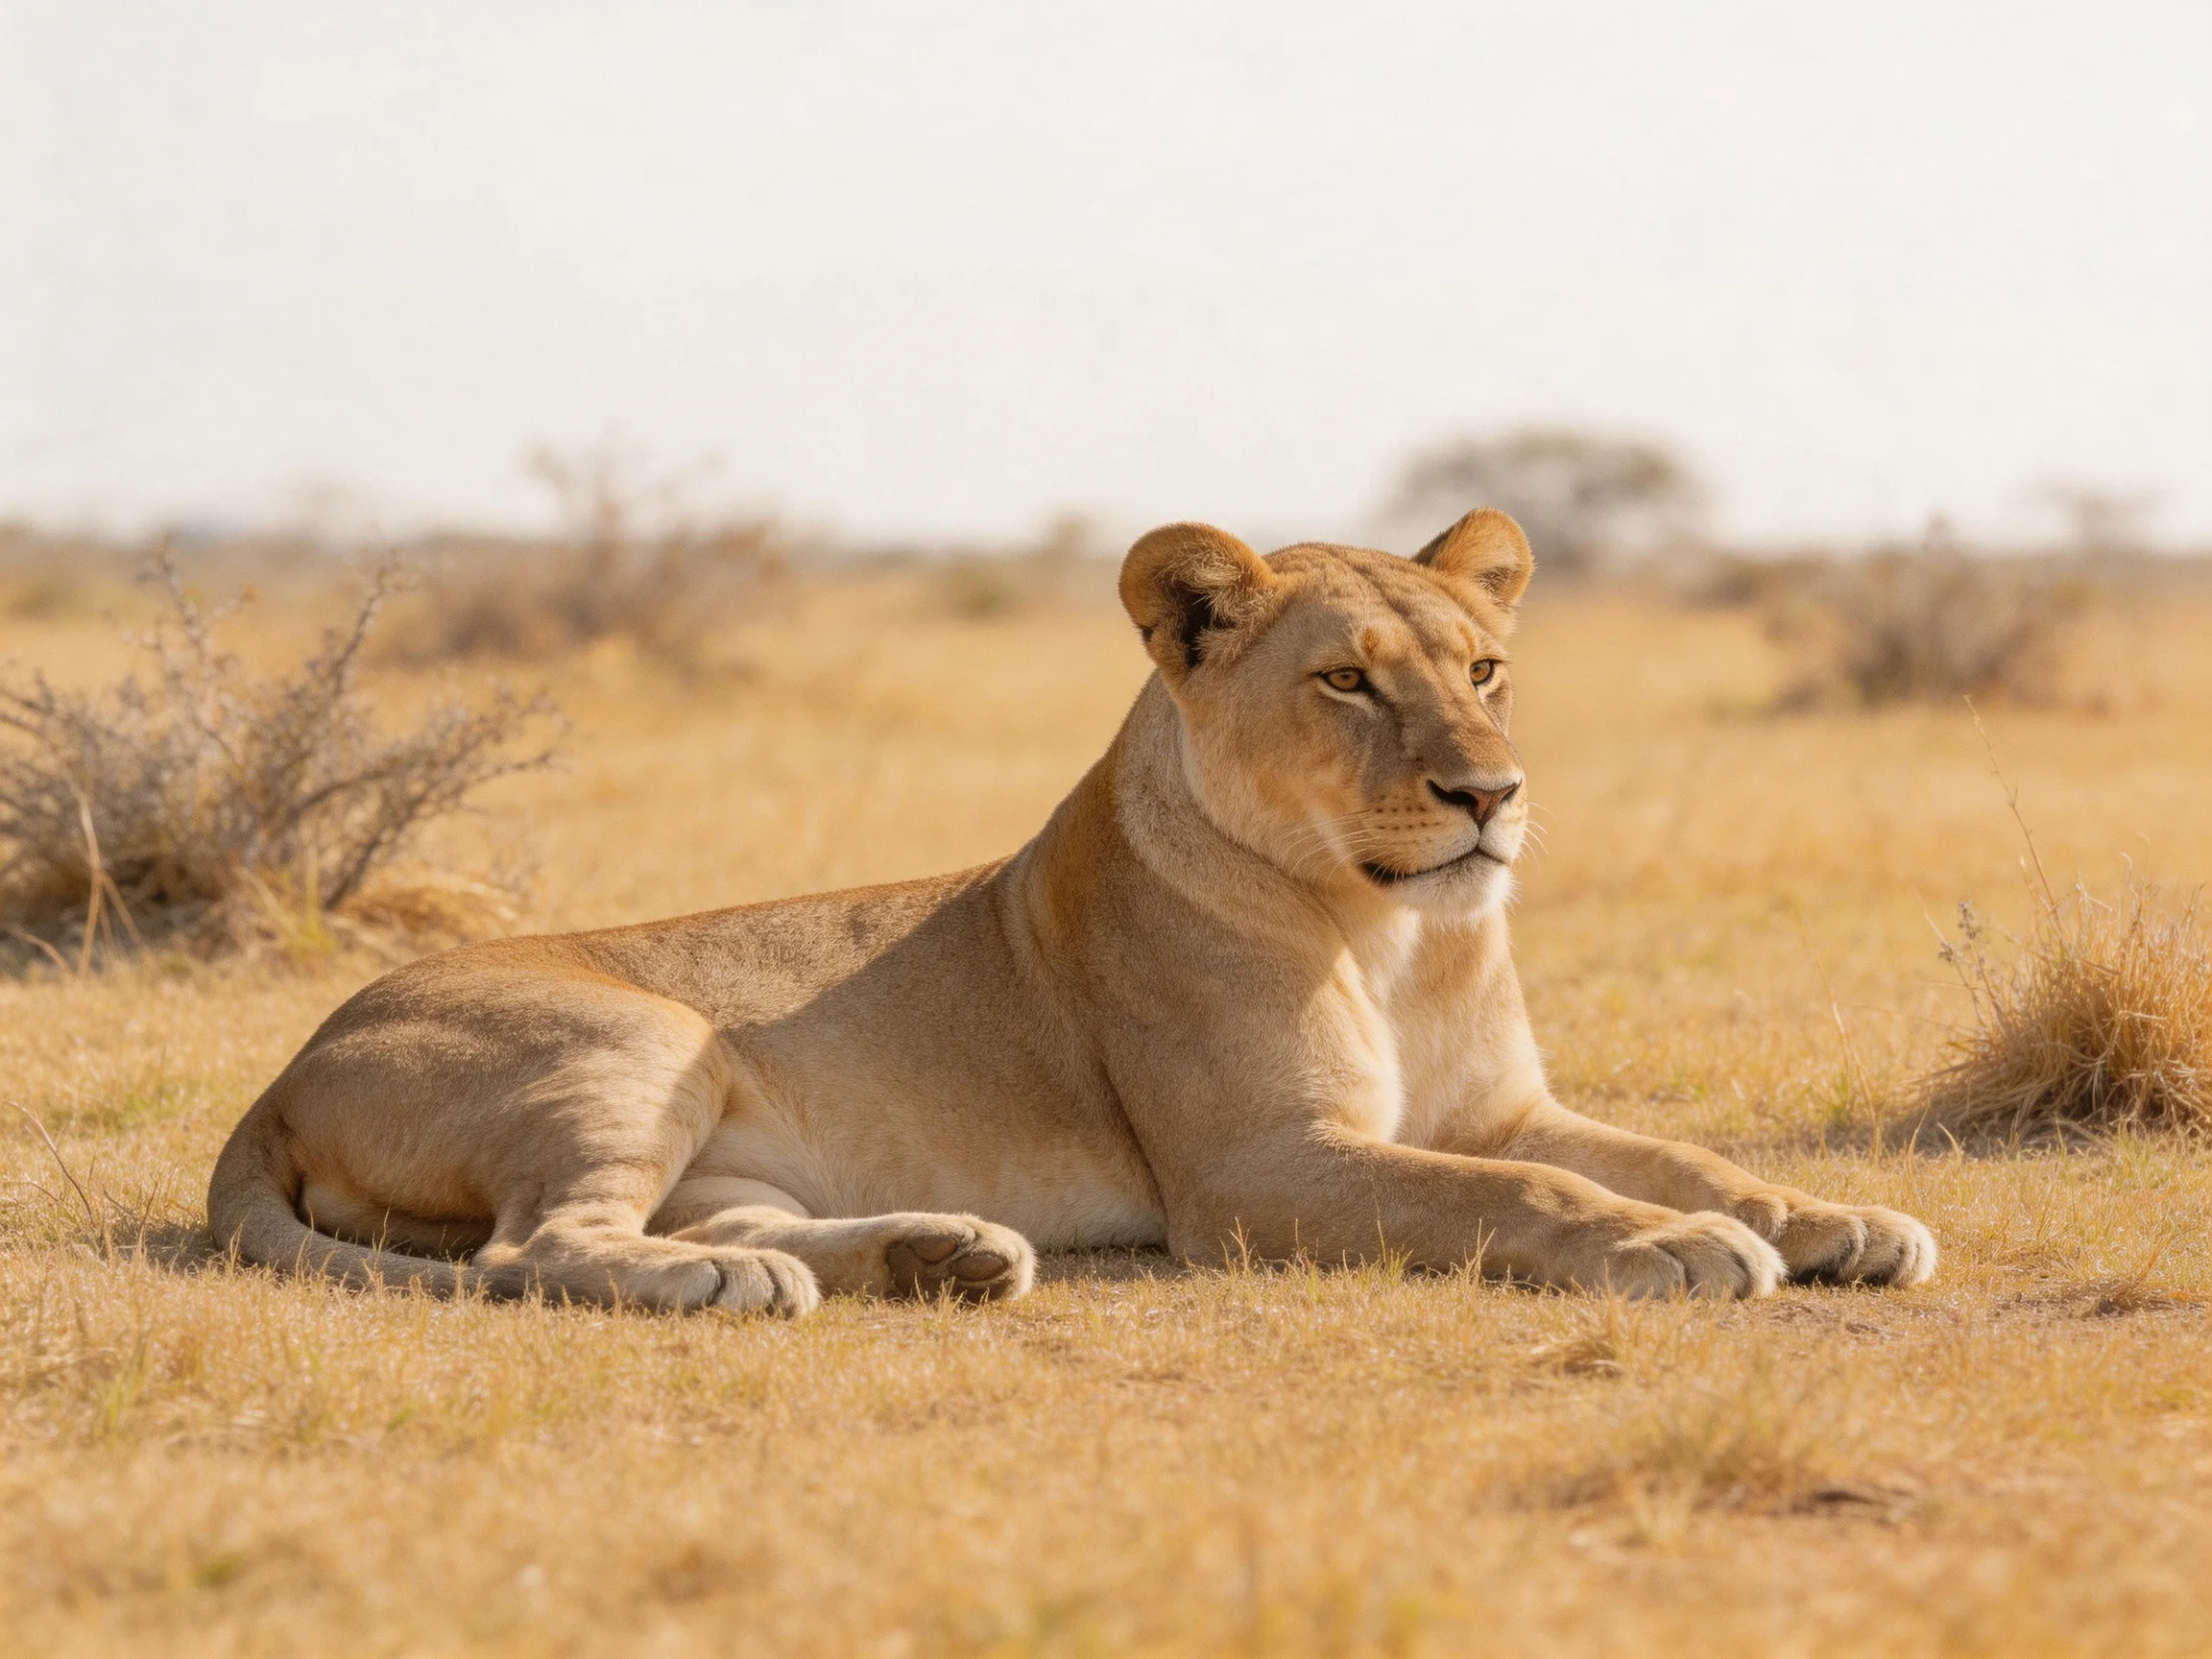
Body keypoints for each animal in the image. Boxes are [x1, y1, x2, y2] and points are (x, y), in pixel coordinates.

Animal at [208, 510, 1936, 1313]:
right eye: (1347, 679)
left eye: (1484, 667)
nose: (1488, 793)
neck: (1392, 933)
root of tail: (279, 1072)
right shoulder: (1258, 1170)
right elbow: (1524, 1196)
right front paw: (1680, 1246)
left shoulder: (1504, 1104)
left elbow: (1671, 1152)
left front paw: (1830, 1218)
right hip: (640, 1036)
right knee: (542, 1245)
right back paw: (731, 1287)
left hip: (712, 1136)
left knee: (705, 1216)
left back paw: (944, 1253)